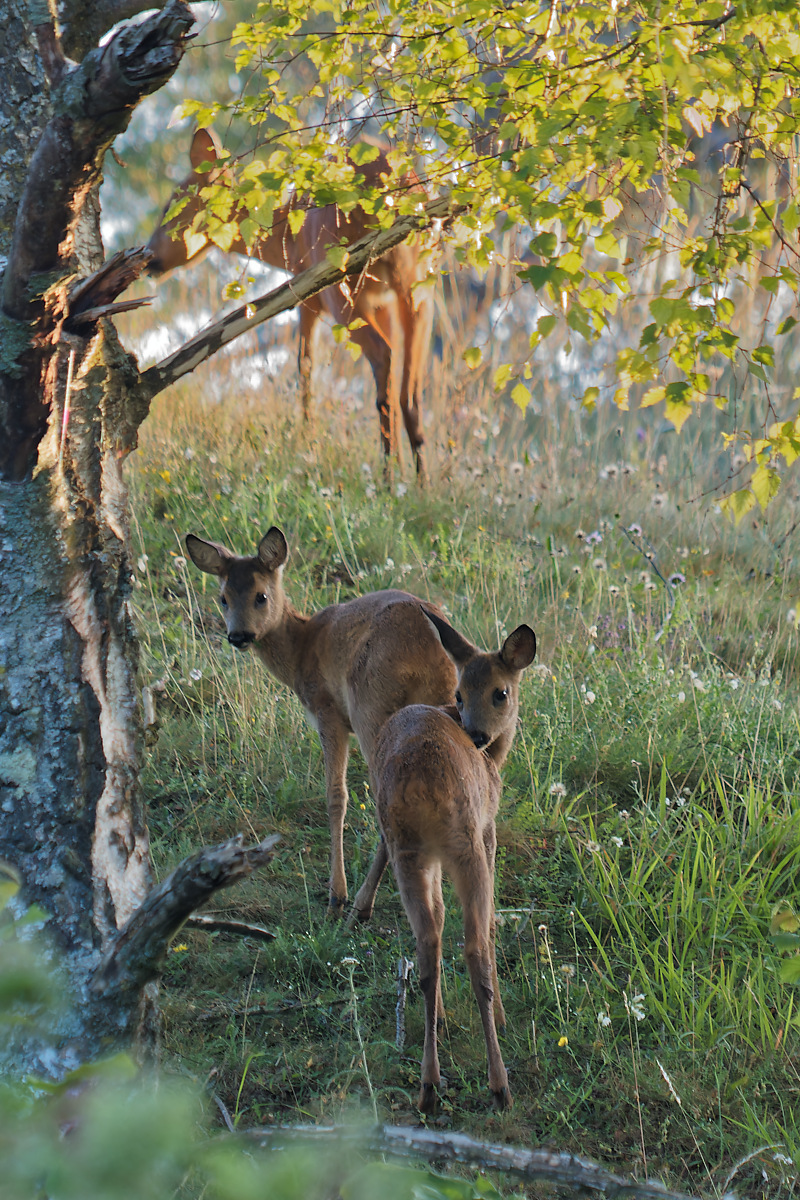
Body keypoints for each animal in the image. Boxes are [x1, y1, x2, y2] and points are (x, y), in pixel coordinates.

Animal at [147, 128, 432, 477]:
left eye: (170, 207)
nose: (149, 258)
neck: (287, 239)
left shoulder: (307, 294)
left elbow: (305, 366)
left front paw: (307, 445)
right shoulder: (383, 302)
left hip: (342, 282)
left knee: (383, 357)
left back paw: (389, 477)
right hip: (420, 283)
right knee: (411, 388)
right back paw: (418, 482)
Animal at [184, 526, 457, 913]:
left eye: (260, 596)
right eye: (222, 598)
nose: (238, 636)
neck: (302, 647)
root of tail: (432, 652)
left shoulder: (328, 711)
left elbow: (335, 796)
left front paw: (335, 892)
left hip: (370, 708)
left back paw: (359, 904)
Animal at [356, 610, 536, 1113]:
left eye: (498, 691)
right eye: (460, 692)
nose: (477, 735)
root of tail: (421, 784)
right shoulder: (489, 828)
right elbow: (491, 924)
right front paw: (500, 1016)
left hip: (409, 851)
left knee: (427, 945)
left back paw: (429, 1083)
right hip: (466, 843)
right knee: (473, 945)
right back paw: (499, 1084)